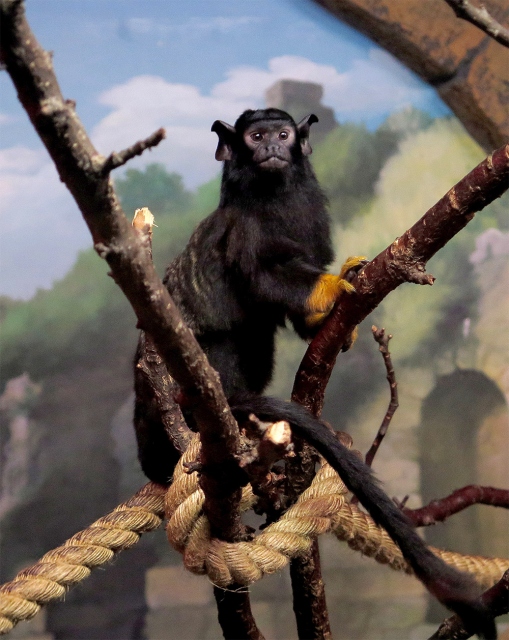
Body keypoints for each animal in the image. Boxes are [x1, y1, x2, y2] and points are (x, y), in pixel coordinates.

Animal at [134, 108, 494, 637]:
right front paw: (334, 285)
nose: (271, 147)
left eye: (283, 134)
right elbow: (266, 276)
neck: (276, 196)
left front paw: (327, 322)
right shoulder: (244, 230)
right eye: (254, 136)